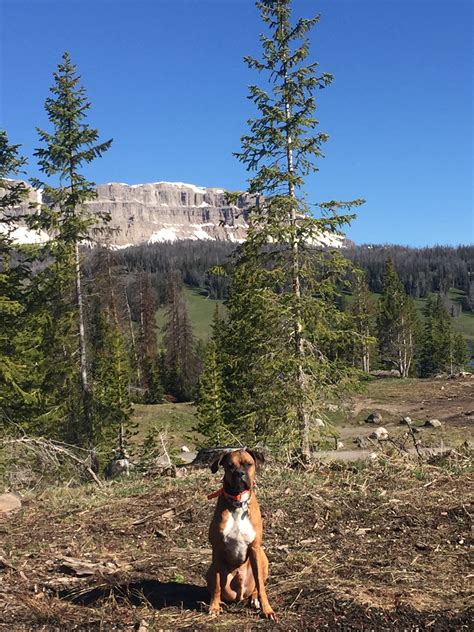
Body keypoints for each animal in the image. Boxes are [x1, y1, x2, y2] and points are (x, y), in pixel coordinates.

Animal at [206, 446, 276, 620]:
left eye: (248, 464)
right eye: (230, 466)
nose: (239, 474)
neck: (238, 503)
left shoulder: (254, 548)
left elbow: (261, 586)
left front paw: (267, 609)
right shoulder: (217, 550)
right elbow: (217, 584)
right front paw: (214, 606)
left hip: (262, 557)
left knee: (257, 586)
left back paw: (254, 599)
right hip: (210, 569)